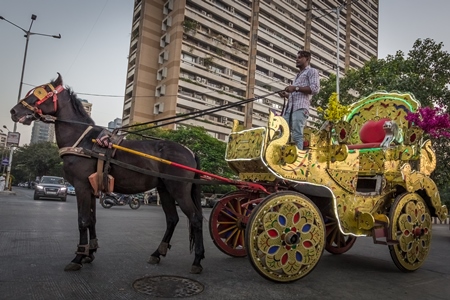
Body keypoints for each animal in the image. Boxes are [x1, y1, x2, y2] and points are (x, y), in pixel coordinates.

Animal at [9, 73, 205, 274]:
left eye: (40, 92)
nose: (14, 112)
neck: (83, 140)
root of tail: (190, 151)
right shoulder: (91, 188)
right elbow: (92, 220)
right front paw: (90, 252)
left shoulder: (80, 186)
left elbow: (83, 220)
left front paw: (78, 257)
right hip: (165, 188)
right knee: (172, 219)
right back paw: (157, 253)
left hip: (179, 188)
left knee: (196, 218)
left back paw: (197, 260)